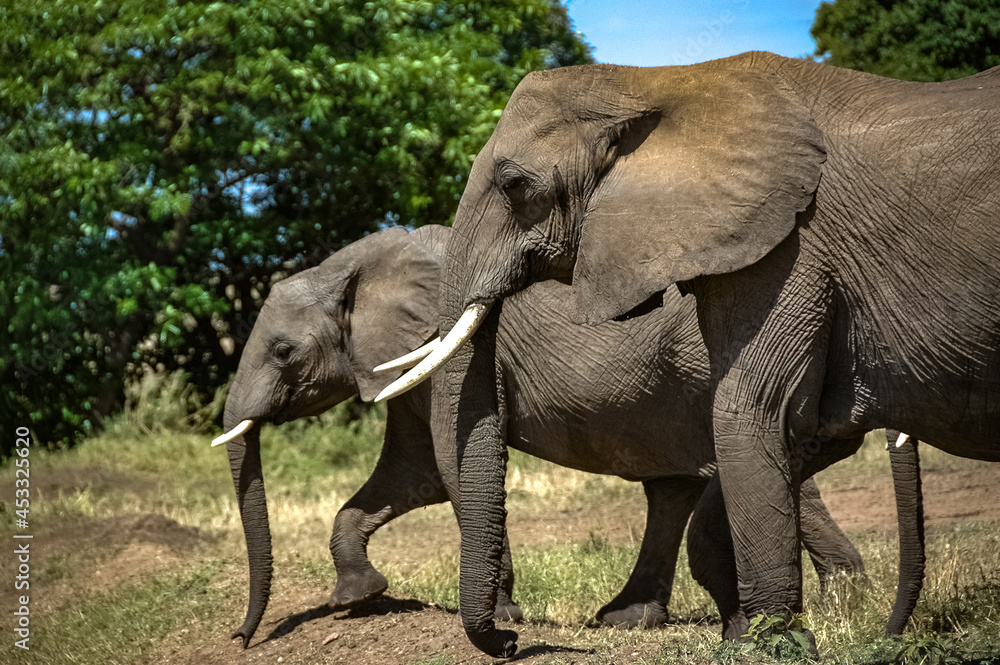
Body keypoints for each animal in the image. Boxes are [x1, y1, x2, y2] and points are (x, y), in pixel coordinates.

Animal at [214, 224, 921, 651]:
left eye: (282, 352)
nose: (242, 639)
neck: (356, 263)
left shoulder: (452, 357)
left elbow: (449, 468)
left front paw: (503, 618)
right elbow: (411, 474)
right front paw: (357, 597)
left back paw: (838, 603)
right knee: (672, 486)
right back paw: (632, 621)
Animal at [375, 51, 998, 650]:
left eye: (514, 185)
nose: (509, 638)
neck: (660, 81)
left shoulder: (790, 245)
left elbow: (753, 413)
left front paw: (772, 646)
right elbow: (790, 428)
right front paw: (751, 635)